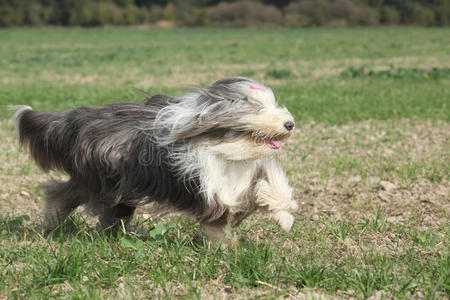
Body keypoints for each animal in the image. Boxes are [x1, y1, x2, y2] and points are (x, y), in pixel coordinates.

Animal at [13, 77, 298, 244]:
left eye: (274, 104)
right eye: (257, 109)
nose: (289, 124)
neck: (226, 148)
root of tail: (78, 118)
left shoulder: (240, 176)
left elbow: (268, 183)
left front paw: (284, 215)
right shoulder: (207, 187)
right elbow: (218, 218)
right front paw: (223, 247)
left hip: (113, 184)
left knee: (79, 198)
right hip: (104, 181)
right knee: (70, 195)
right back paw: (56, 221)